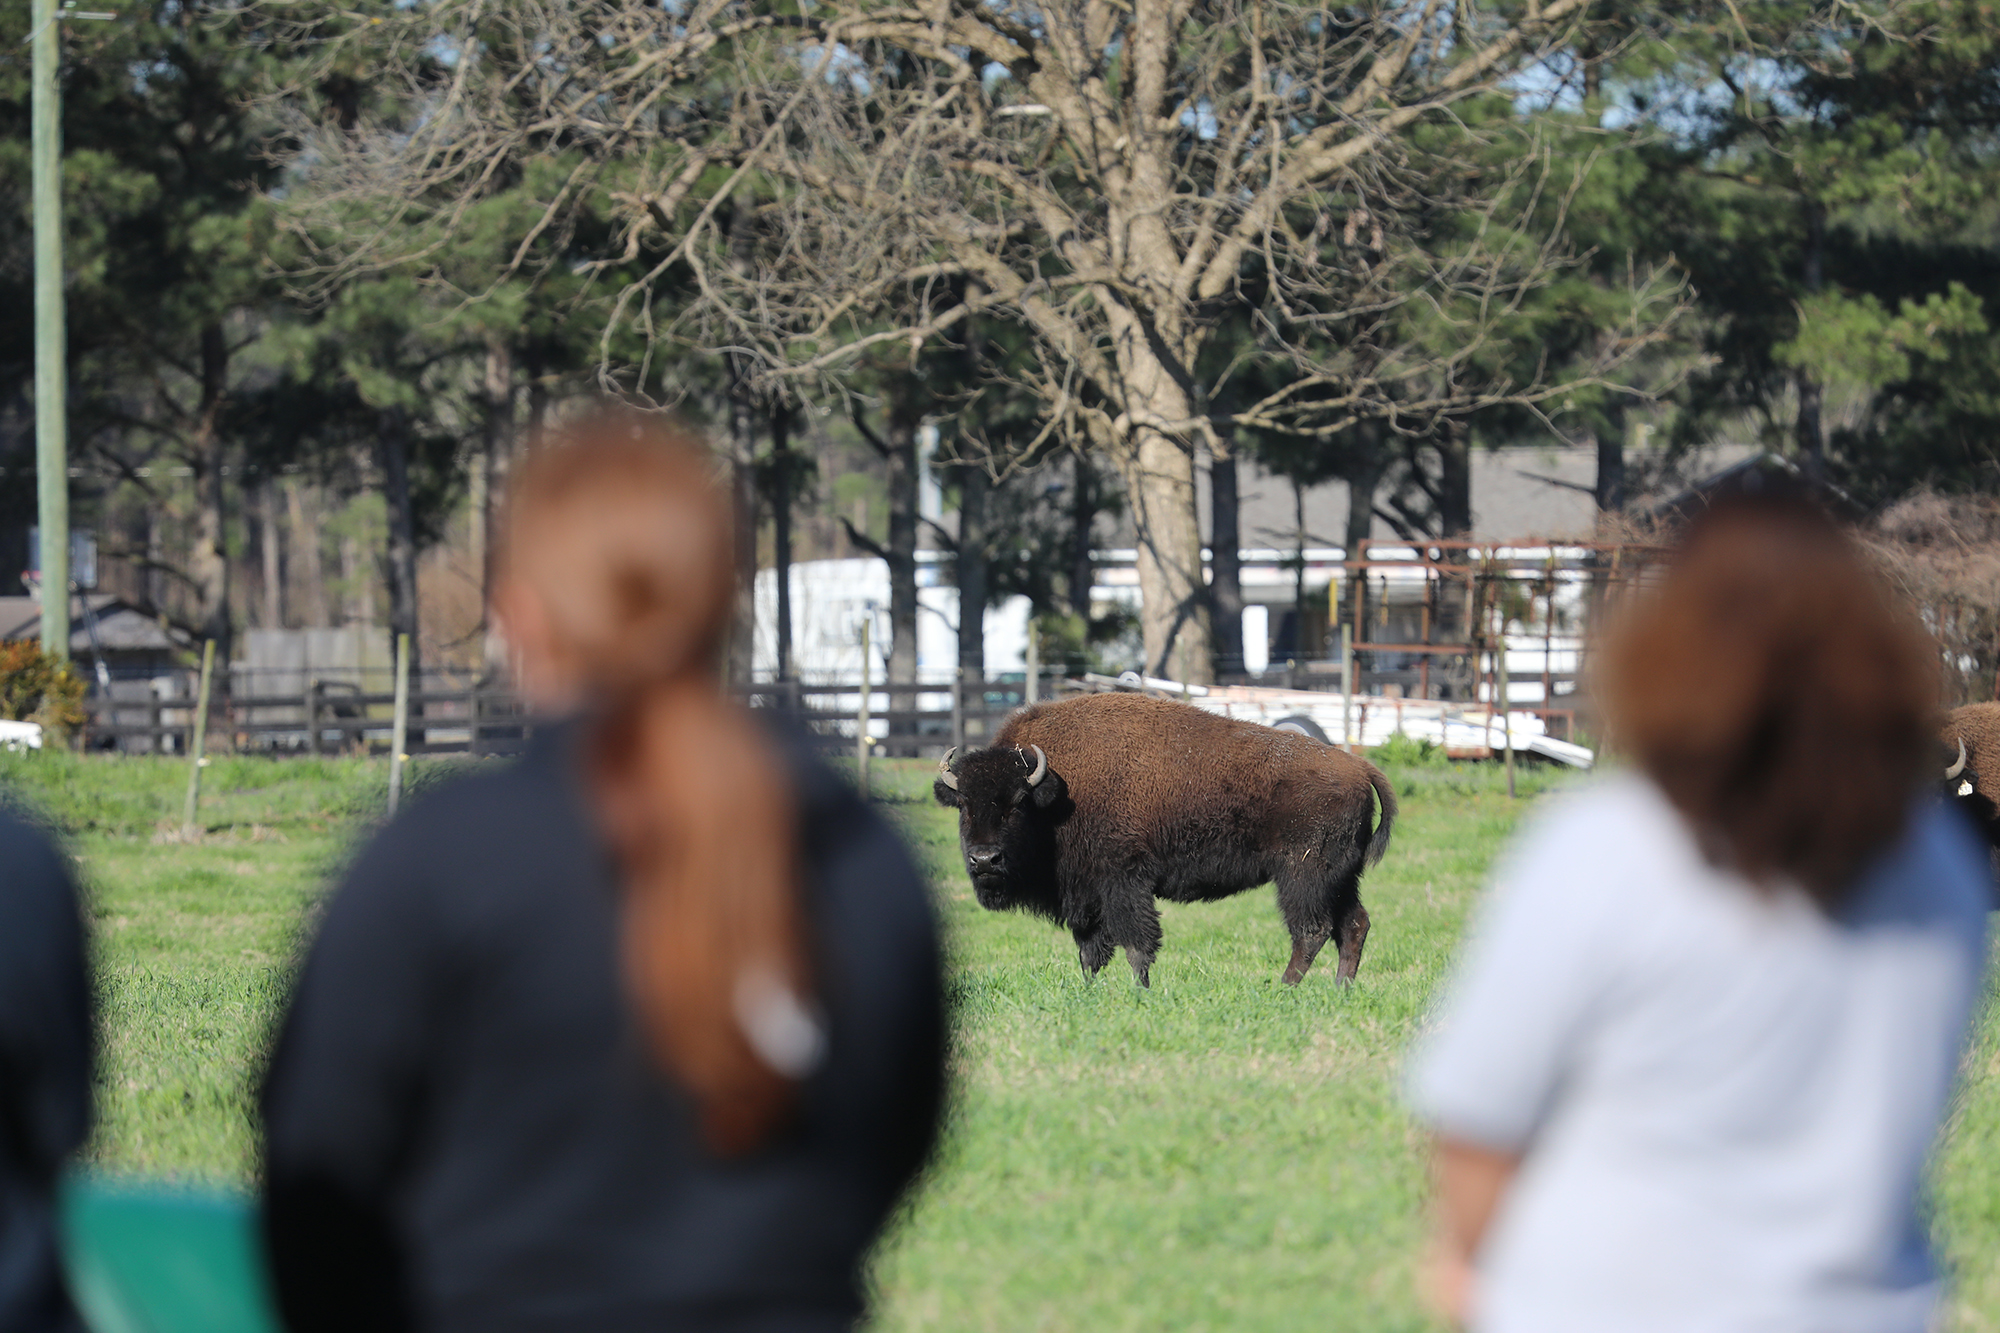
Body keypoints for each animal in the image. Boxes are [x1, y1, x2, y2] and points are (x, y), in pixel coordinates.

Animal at [933, 692, 1397, 987]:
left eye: (1016, 804)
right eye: (965, 805)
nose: (985, 860)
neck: (1054, 792)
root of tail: (1359, 766)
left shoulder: (1122, 883)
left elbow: (1136, 942)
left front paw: (1141, 990)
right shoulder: (1085, 895)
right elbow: (1090, 952)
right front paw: (1089, 992)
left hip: (1302, 876)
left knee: (1311, 931)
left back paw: (1282, 989)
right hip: (1340, 878)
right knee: (1354, 925)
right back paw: (1340, 989)